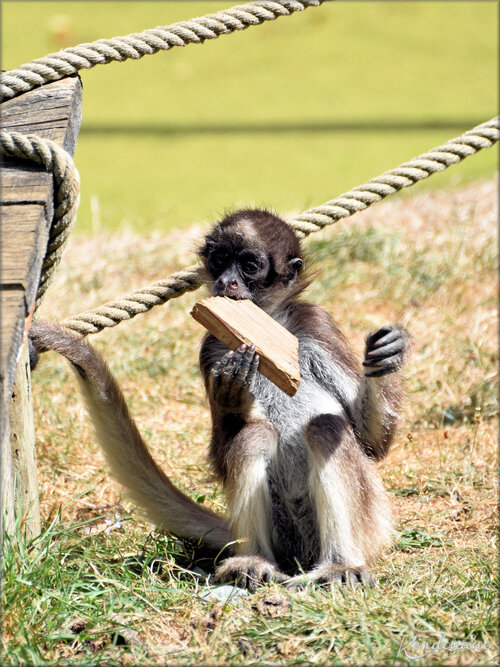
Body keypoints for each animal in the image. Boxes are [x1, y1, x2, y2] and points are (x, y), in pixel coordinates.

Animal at [29, 207, 408, 588]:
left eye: (250, 265)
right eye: (220, 259)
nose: (226, 282)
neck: (267, 325)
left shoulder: (316, 324)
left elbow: (372, 444)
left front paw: (389, 355)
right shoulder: (213, 346)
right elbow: (223, 451)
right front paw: (230, 394)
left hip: (371, 518)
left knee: (326, 428)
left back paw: (339, 565)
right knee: (254, 436)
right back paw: (253, 560)